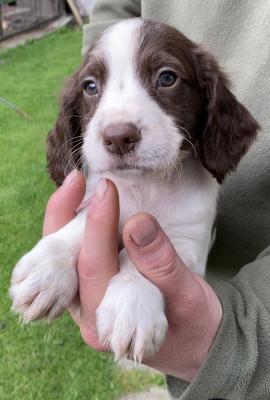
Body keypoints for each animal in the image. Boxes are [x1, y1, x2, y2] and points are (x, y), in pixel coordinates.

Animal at [8, 18, 260, 362]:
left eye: (167, 77)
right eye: (90, 86)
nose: (118, 137)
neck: (147, 187)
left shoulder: (190, 243)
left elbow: (139, 258)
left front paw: (131, 306)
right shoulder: (101, 198)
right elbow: (80, 225)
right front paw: (46, 269)